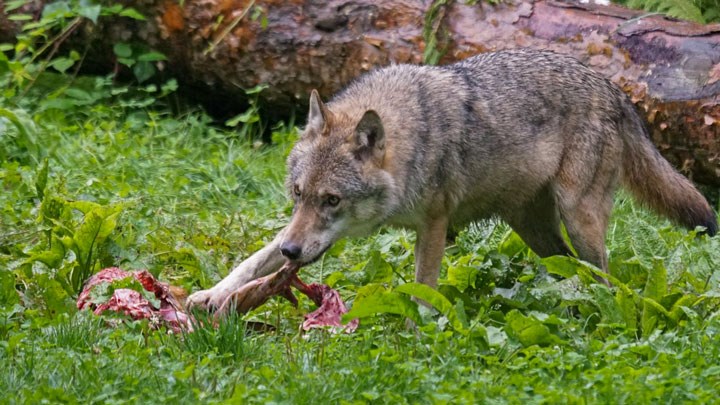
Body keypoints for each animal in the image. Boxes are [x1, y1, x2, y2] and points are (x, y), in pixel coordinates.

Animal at [188, 49, 716, 310]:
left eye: (332, 200)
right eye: (299, 195)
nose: (294, 253)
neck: (410, 139)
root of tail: (613, 88)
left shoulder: (435, 225)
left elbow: (423, 285)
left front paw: (418, 335)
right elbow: (252, 260)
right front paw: (211, 295)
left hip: (577, 217)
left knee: (604, 276)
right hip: (534, 228)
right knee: (569, 267)